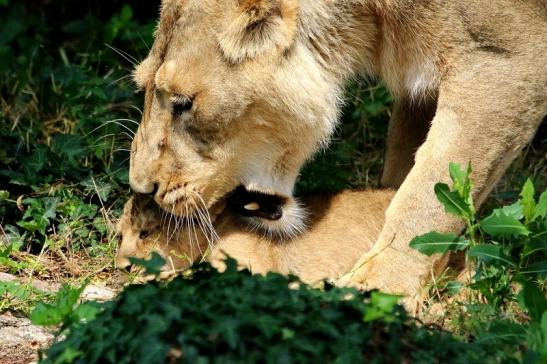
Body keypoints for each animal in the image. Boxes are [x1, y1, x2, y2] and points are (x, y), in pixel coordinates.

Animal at [130, 0, 547, 306]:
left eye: (183, 103)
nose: (140, 188)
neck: (373, 16)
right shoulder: (420, 84)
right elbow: (401, 173)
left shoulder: (504, 61)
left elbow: (427, 193)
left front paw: (376, 290)